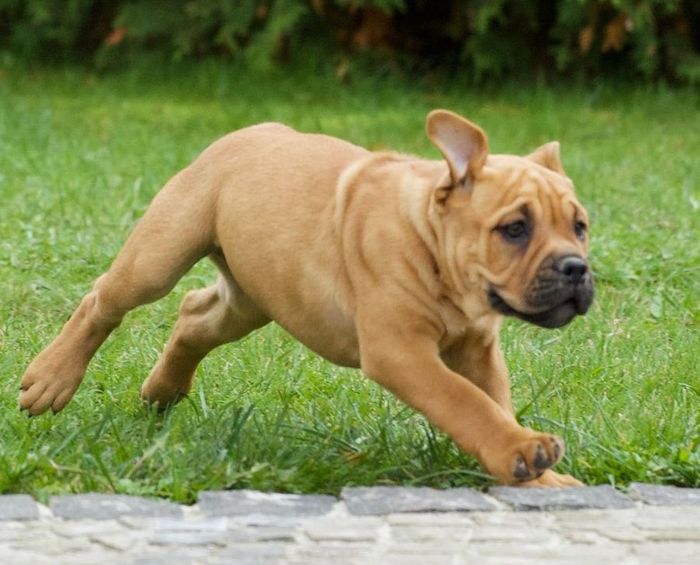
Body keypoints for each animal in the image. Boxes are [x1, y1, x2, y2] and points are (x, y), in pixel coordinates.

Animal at [20, 110, 594, 486]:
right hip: (159, 255)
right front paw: (520, 451)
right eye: (514, 229)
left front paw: (537, 474)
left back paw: (163, 390)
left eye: (580, 227)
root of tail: (251, 132)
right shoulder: (401, 352)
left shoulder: (477, 350)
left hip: (253, 299)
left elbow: (494, 403)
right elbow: (466, 404)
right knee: (104, 301)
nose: (577, 268)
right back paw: (51, 379)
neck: (431, 239)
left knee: (194, 318)